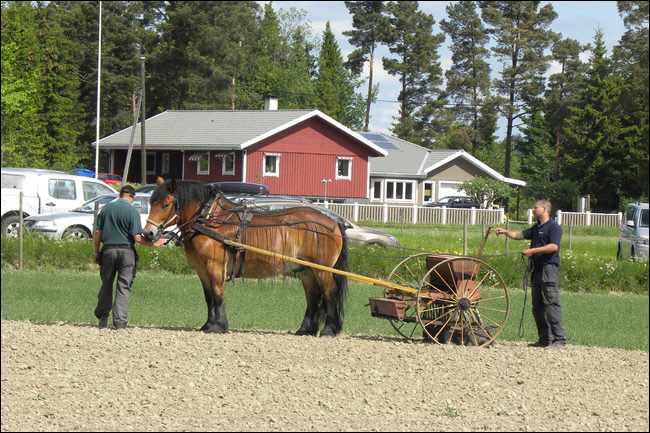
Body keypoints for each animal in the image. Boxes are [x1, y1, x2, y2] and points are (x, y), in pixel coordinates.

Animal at [142, 177, 350, 336]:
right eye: (151, 203)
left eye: (165, 204)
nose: (148, 233)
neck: (209, 220)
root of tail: (334, 221)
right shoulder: (202, 270)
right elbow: (209, 297)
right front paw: (208, 325)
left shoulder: (215, 266)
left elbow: (218, 294)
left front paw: (219, 326)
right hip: (307, 271)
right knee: (313, 296)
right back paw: (305, 329)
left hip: (321, 270)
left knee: (329, 293)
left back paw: (329, 330)